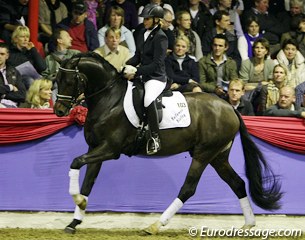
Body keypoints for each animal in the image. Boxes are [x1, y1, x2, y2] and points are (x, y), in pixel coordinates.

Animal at [52, 52, 280, 234]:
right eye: (56, 79)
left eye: (70, 81)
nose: (59, 111)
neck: (109, 100)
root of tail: (229, 107)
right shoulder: (95, 148)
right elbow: (88, 182)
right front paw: (74, 221)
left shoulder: (110, 149)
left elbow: (75, 162)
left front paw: (77, 200)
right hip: (218, 157)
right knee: (237, 183)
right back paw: (248, 224)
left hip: (204, 154)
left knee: (188, 189)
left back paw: (154, 226)